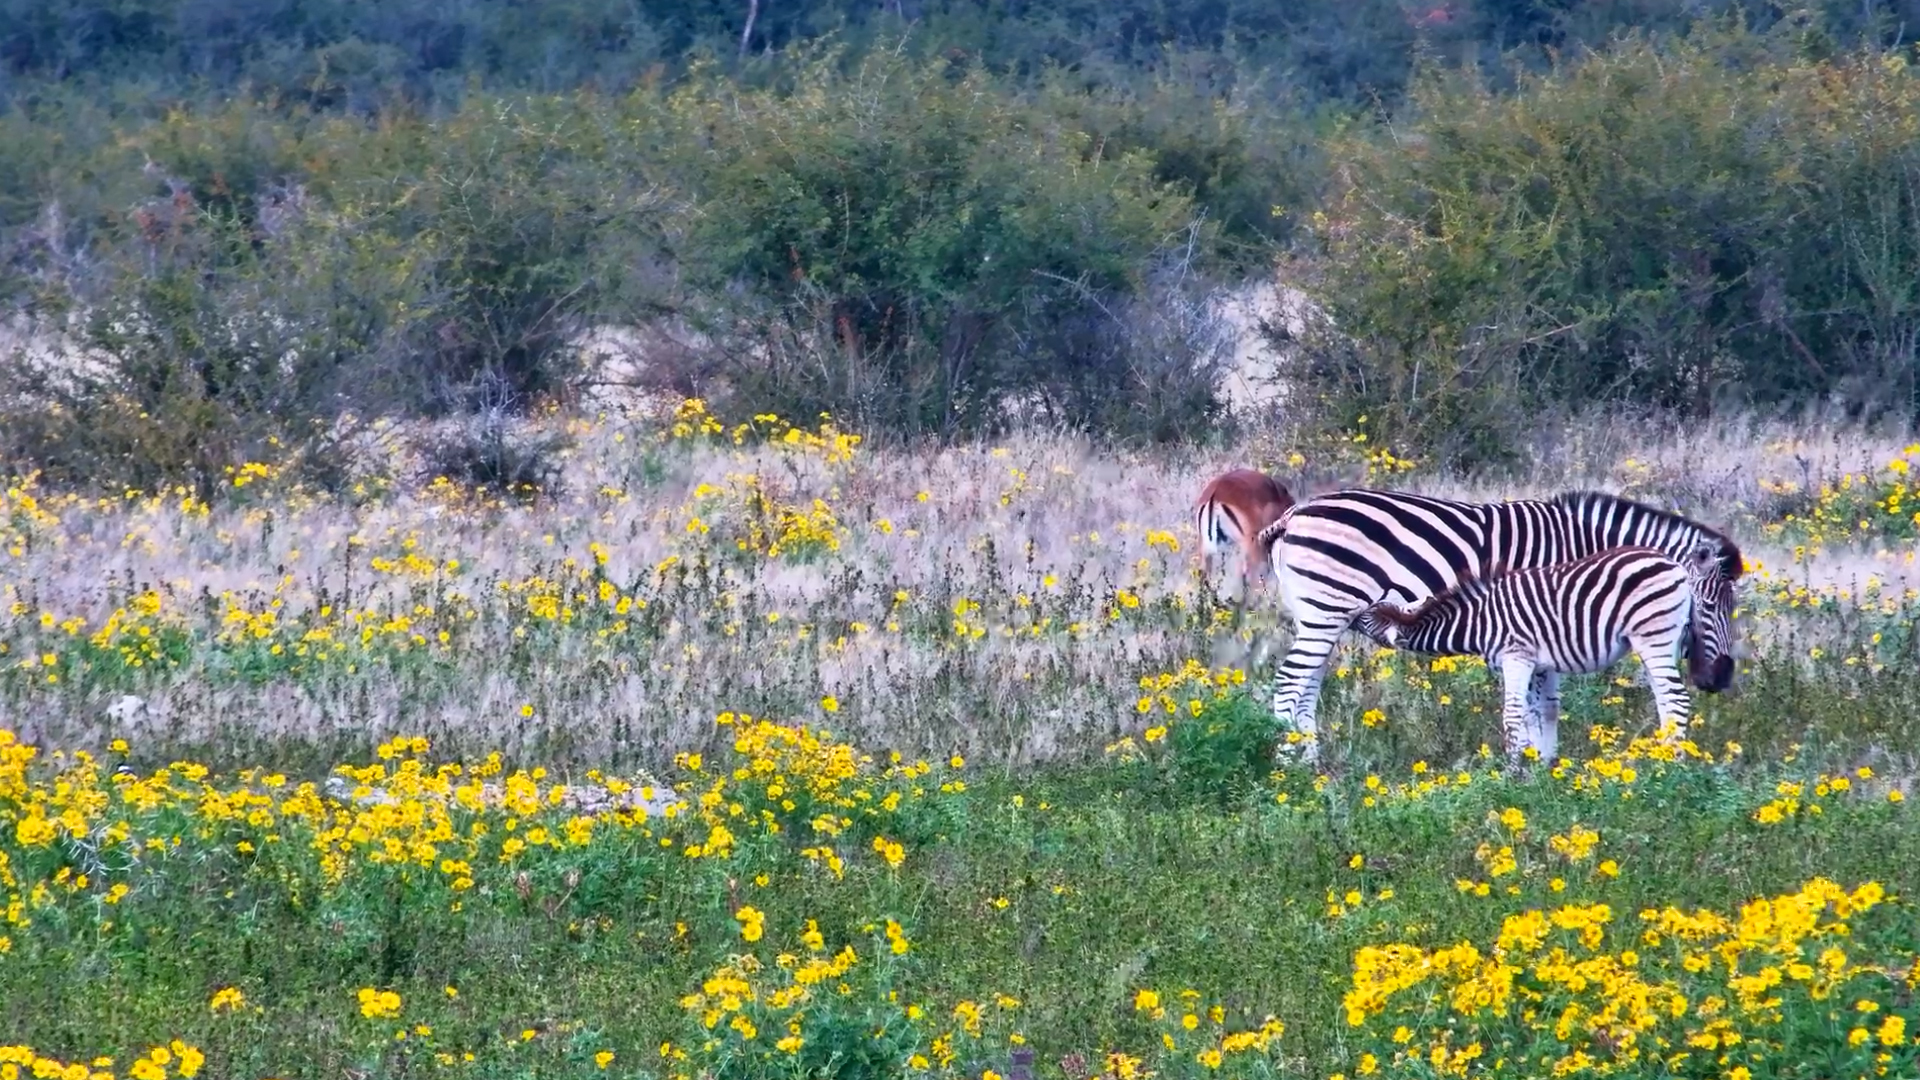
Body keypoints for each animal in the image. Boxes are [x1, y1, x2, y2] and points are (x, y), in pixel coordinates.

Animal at [1350, 544, 1736, 764]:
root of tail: (1675, 567)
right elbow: (1542, 713)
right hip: (1657, 644)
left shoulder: (1516, 656)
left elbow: (1512, 717)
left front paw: (1513, 775)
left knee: (1676, 699)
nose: (1347, 613)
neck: (1478, 619)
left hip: (1653, 637)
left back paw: (1669, 765)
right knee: (1666, 702)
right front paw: (1543, 766)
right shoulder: (1541, 665)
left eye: (1365, 617)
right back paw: (1661, 755)